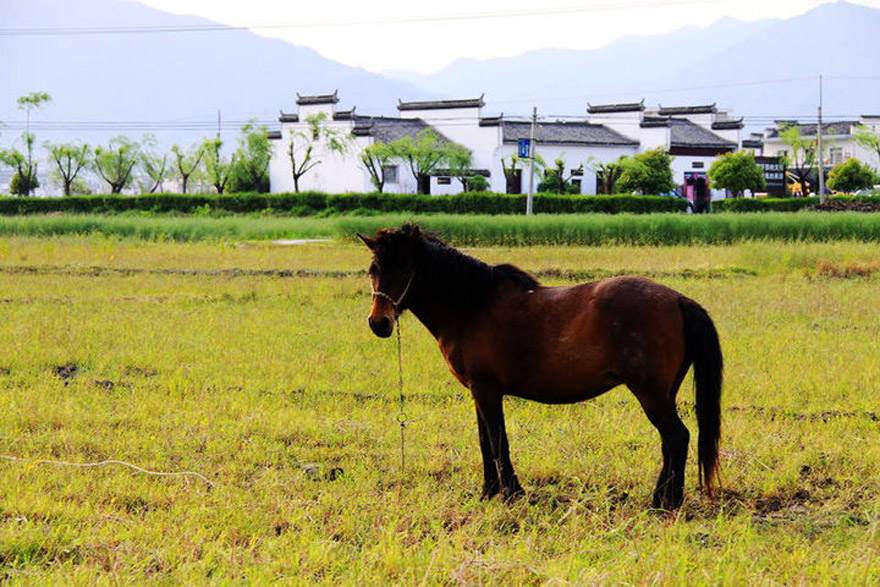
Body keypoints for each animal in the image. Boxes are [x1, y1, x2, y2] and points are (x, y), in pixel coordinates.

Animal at [358, 225, 720, 510]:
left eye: (405, 268)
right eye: (373, 269)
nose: (378, 323)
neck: (472, 304)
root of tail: (677, 299)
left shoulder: (486, 389)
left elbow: (496, 439)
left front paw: (510, 492)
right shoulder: (479, 391)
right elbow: (485, 440)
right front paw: (488, 492)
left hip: (650, 393)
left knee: (677, 437)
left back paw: (668, 502)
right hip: (662, 393)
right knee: (668, 441)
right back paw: (660, 498)